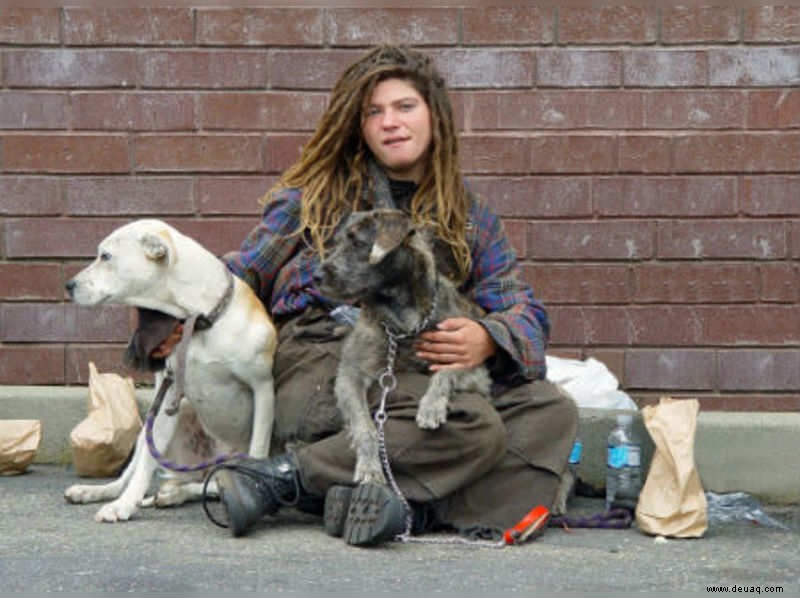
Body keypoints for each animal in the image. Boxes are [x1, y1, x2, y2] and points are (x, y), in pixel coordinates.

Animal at [62, 220, 276, 524]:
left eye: (106, 256)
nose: (69, 285)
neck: (199, 318)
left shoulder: (263, 389)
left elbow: (257, 454)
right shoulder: (166, 396)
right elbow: (143, 468)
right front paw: (124, 505)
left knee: (212, 483)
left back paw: (177, 493)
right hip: (156, 425)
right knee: (133, 475)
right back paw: (100, 492)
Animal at [314, 210, 490, 488]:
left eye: (357, 242)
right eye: (337, 241)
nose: (316, 277)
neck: (401, 318)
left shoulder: (475, 369)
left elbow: (446, 373)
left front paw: (431, 406)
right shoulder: (350, 376)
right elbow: (364, 426)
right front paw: (369, 467)